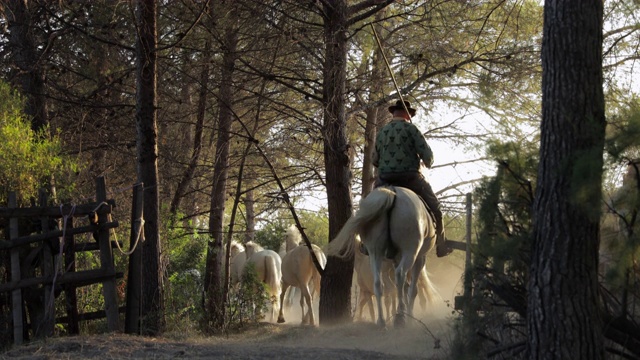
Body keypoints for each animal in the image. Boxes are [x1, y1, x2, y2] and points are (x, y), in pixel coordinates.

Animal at [328, 187, 438, 328]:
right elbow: (412, 290)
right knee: (400, 276)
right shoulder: (419, 258)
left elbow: (403, 288)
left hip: (375, 253)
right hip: (410, 252)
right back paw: (400, 317)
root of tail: (391, 191)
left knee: (379, 283)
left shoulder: (396, 258)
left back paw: (381, 321)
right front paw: (410, 317)